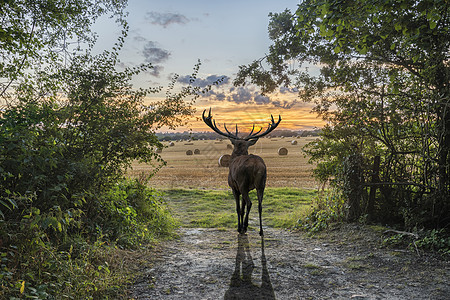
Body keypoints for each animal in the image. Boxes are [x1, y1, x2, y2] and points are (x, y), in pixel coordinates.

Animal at [201, 108, 280, 237]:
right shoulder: (247, 188)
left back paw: (244, 226)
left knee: (250, 203)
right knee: (260, 205)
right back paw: (261, 231)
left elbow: (238, 209)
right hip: (262, 184)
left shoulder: (234, 187)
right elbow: (242, 209)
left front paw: (239, 227)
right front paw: (243, 226)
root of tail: (257, 166)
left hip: (243, 183)